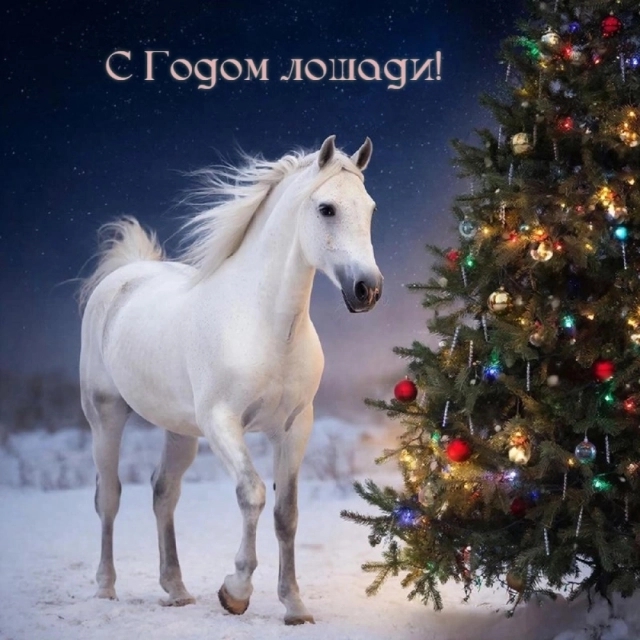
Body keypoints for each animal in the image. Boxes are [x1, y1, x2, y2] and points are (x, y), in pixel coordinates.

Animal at [78, 135, 383, 625]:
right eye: (327, 208)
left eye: (370, 208)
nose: (367, 290)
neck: (265, 325)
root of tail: (124, 275)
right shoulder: (223, 423)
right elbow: (252, 493)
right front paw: (235, 591)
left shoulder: (295, 427)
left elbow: (286, 512)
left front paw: (294, 605)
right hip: (105, 415)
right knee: (108, 495)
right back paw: (106, 588)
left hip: (180, 430)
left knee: (164, 492)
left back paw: (176, 588)